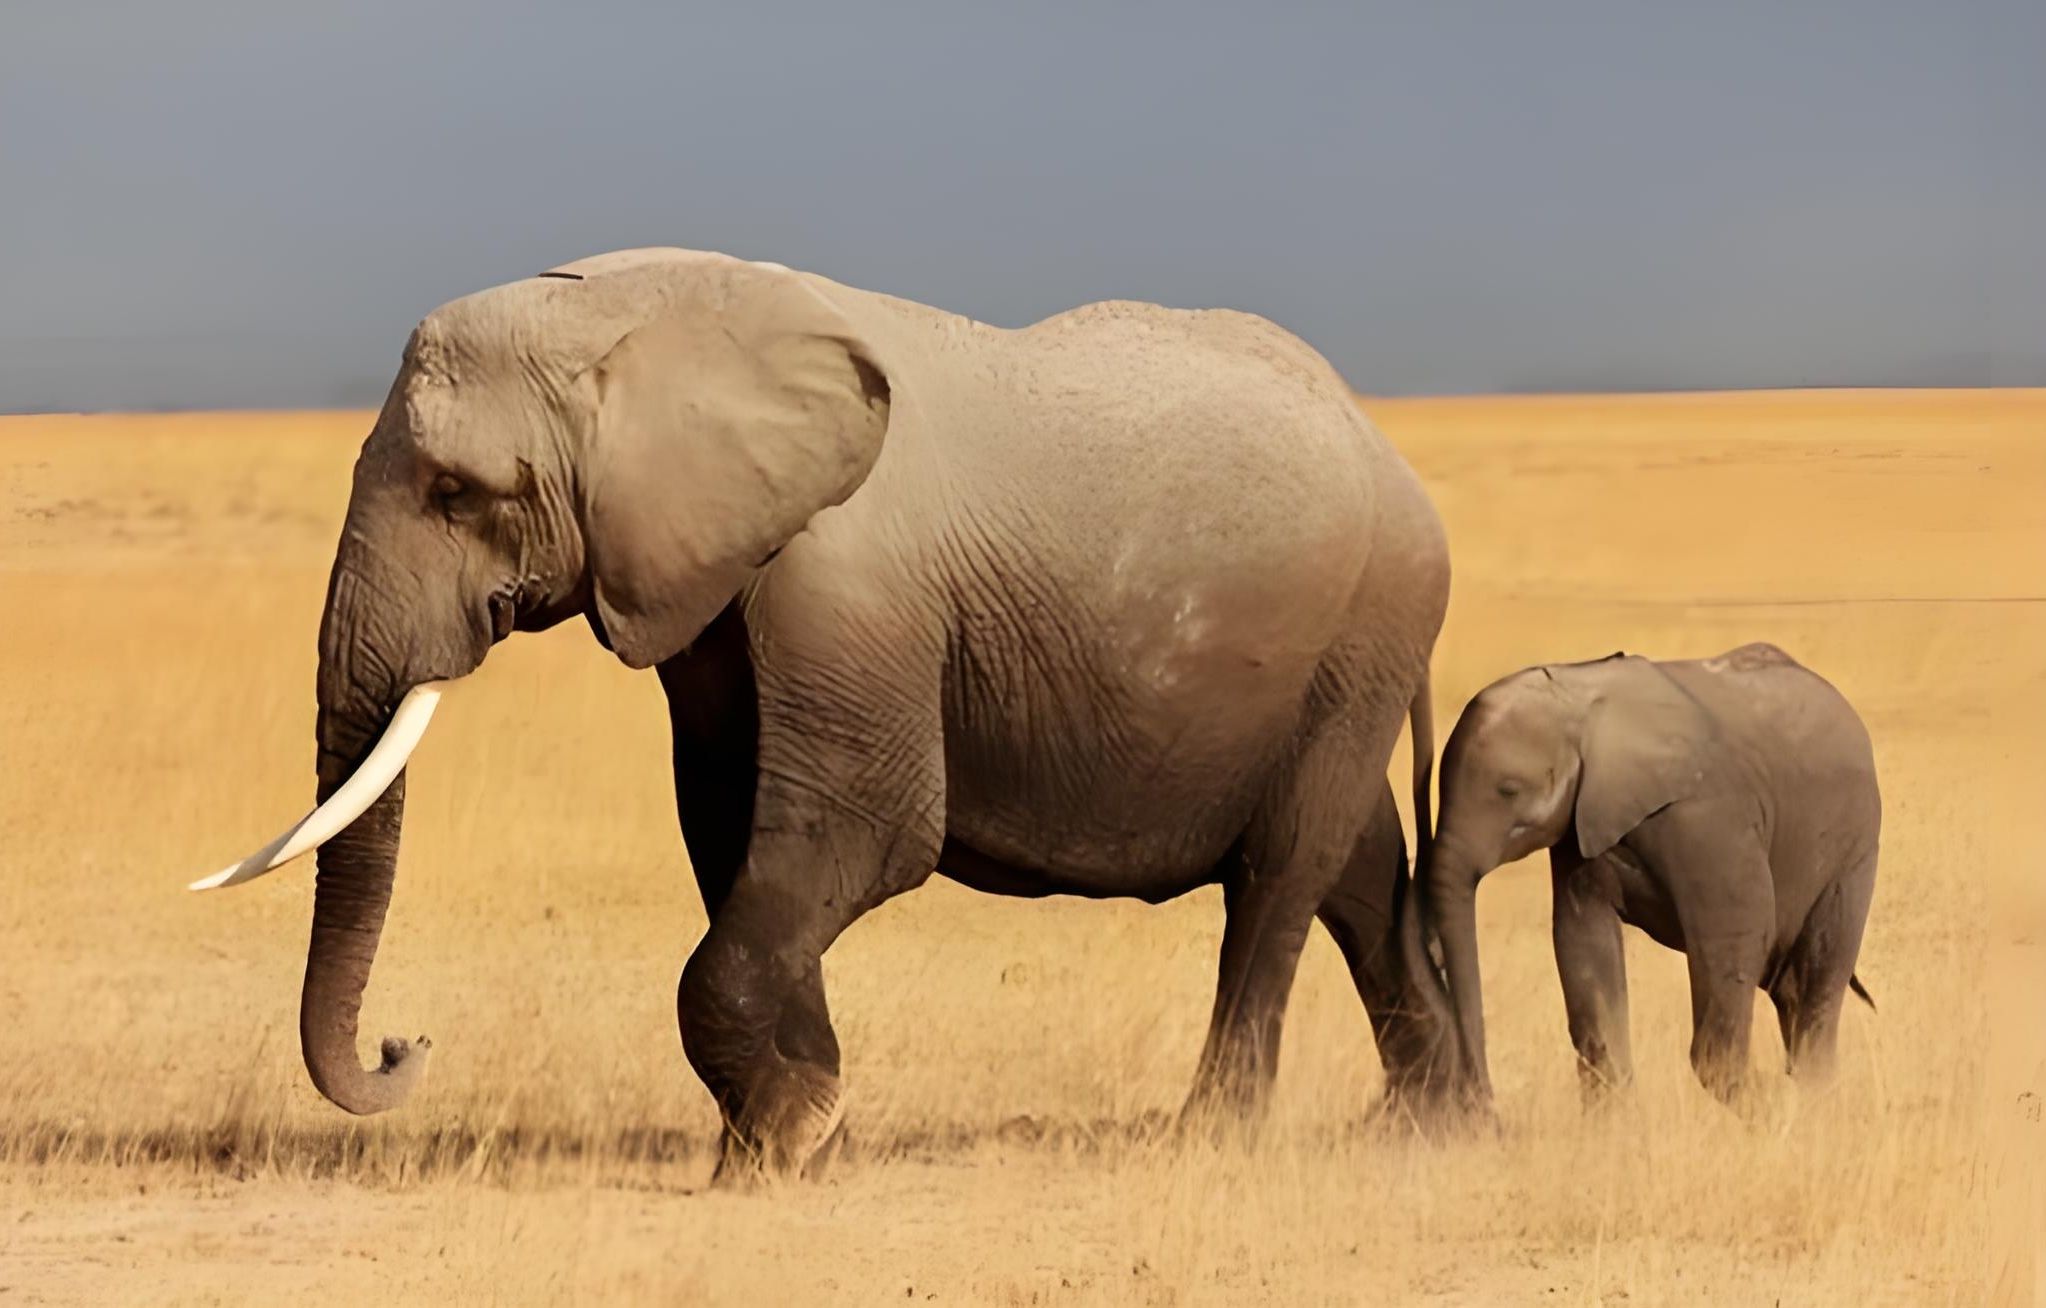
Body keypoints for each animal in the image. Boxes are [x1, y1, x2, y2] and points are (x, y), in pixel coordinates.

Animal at [199, 245, 1464, 1179]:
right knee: (1359, 865)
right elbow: (735, 836)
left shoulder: (846, 579)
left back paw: (1212, 1138)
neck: (635, 311)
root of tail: (1389, 449)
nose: (405, 1044)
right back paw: (1433, 1123)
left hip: (1371, 622)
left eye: (460, 494)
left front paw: (787, 1139)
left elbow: (861, 831)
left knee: (1282, 872)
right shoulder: (709, 586)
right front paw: (794, 1132)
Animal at [1424, 646, 1882, 1105]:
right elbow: (1581, 939)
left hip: (1856, 845)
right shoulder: (1580, 828)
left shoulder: (1706, 816)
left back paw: (1814, 1098)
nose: (1483, 1099)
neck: (1581, 698)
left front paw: (1765, 1107)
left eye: (1508, 790)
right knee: (1790, 988)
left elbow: (1738, 933)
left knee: (1816, 979)